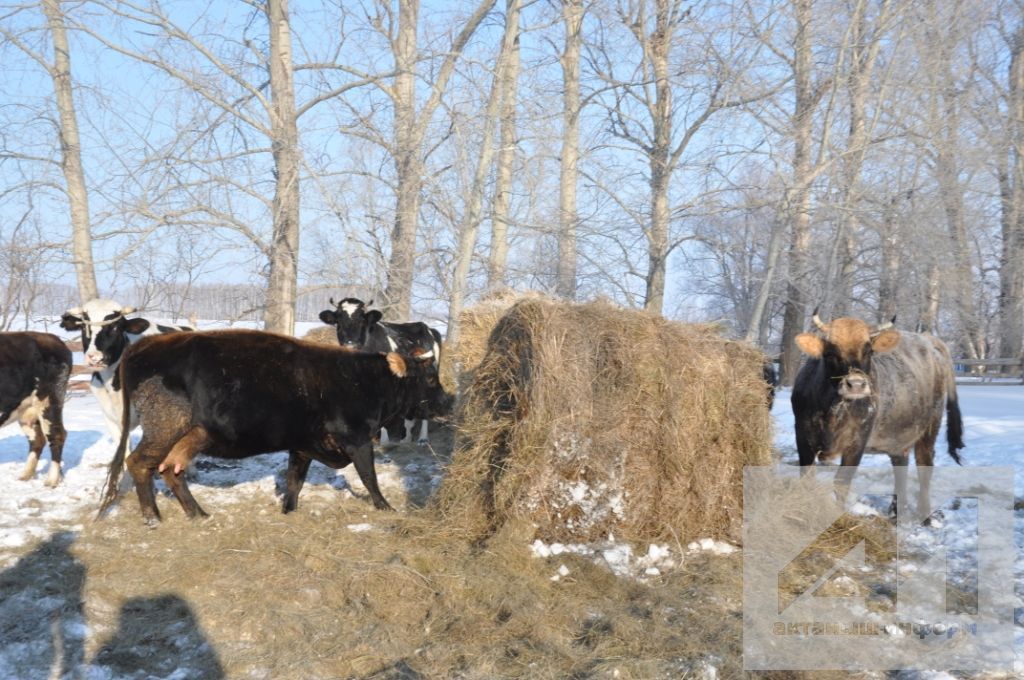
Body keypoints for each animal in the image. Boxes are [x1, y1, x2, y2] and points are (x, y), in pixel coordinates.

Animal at [0, 331, 71, 485]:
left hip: (49, 400)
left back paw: (52, 480)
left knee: (57, 435)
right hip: (26, 410)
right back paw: (26, 475)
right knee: (37, 439)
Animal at [97, 329, 454, 524]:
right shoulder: (357, 440)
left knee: (172, 470)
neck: (363, 380)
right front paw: (386, 507)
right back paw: (153, 518)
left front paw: (289, 511)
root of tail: (147, 343)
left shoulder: (303, 445)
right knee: (138, 464)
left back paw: (198, 513)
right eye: (430, 378)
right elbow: (369, 477)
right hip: (164, 428)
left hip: (191, 435)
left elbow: (295, 480)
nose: (448, 402)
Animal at [315, 296, 444, 446]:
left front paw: (384, 442)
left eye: (362, 320)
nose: (350, 344)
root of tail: (429, 328)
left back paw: (422, 438)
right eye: (338, 322)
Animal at [786, 313, 962, 520]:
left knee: (924, 464)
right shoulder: (802, 435)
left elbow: (842, 481)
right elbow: (806, 479)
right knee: (900, 465)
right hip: (900, 434)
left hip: (930, 426)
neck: (831, 412)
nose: (856, 384)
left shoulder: (857, 442)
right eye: (830, 353)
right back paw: (896, 510)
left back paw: (924, 514)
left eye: (869, 351)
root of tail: (927, 339)